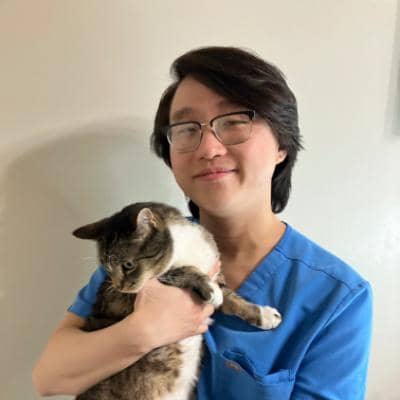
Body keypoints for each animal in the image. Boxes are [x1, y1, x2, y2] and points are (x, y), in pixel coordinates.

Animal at [73, 202, 282, 400]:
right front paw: (209, 289)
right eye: (107, 268)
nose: (119, 287)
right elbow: (184, 271)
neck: (184, 246)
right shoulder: (160, 280)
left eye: (128, 265)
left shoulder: (214, 271)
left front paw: (265, 316)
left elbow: (233, 300)